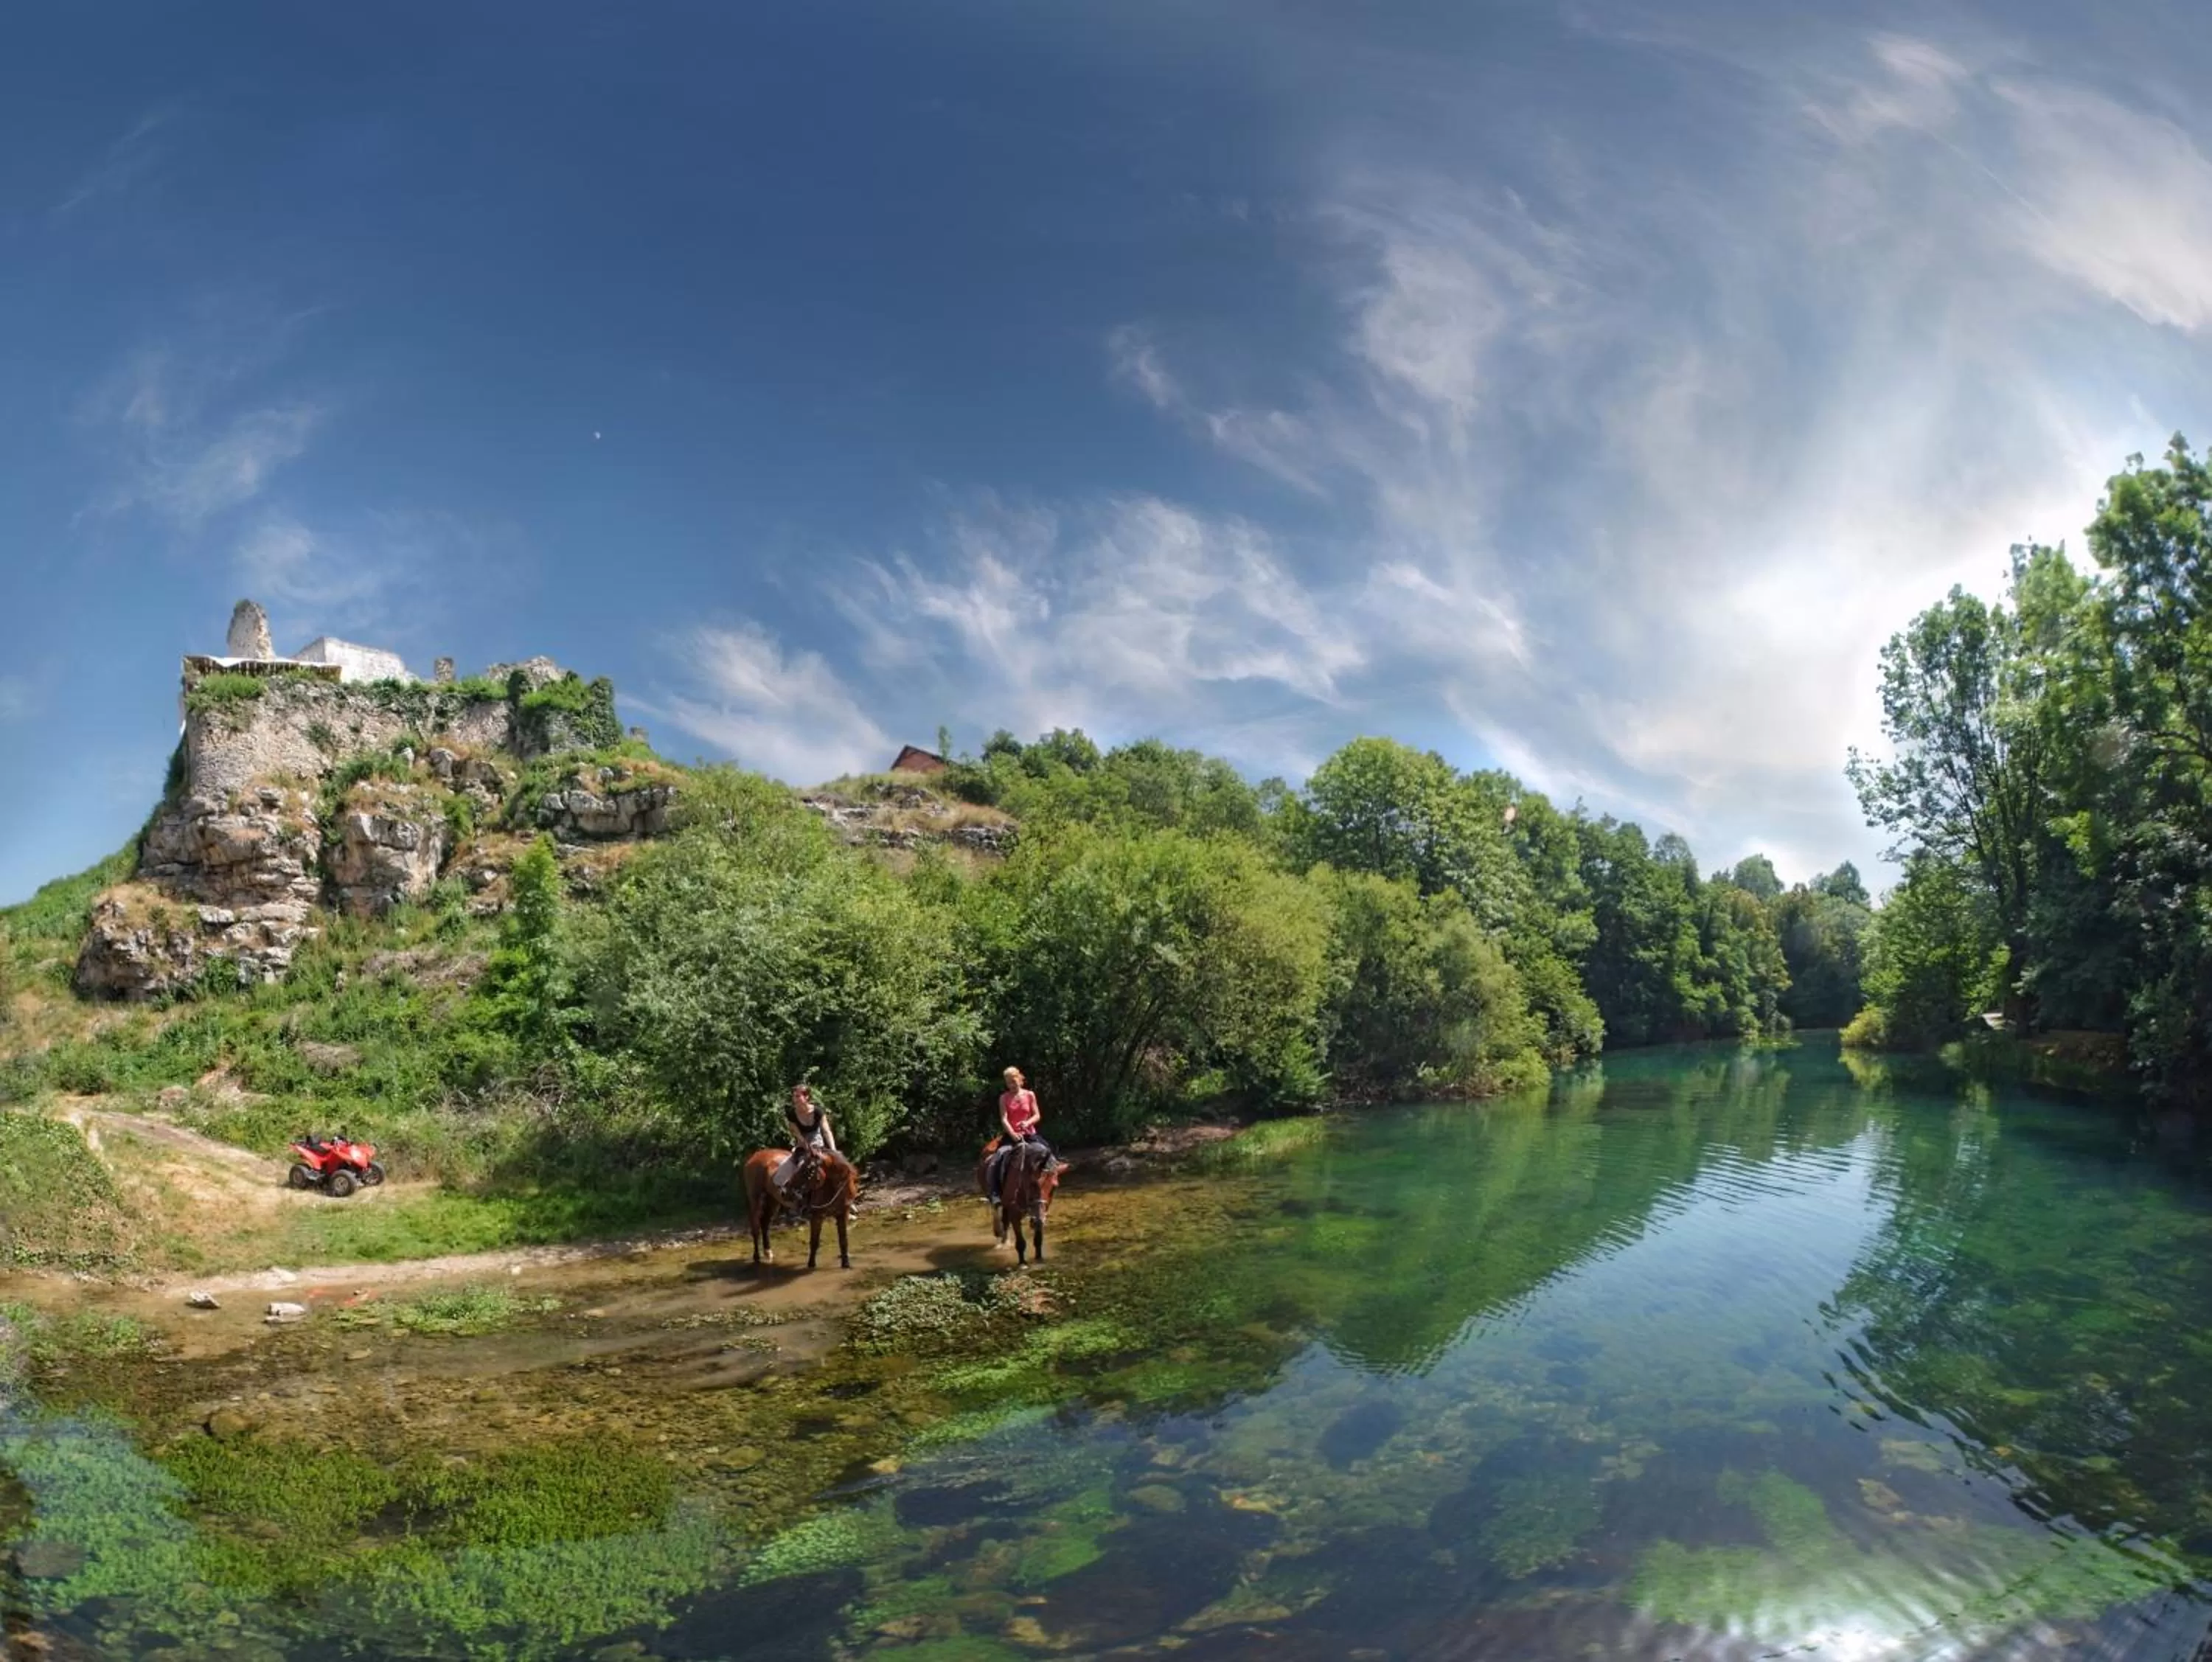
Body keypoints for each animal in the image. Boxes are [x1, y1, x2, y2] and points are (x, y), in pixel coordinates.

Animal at [739, 1146, 859, 1269]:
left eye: (807, 1170)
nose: (784, 1192)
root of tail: (755, 1156)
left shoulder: (842, 1213)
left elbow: (843, 1240)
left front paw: (846, 1264)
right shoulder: (817, 1216)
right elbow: (814, 1241)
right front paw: (811, 1265)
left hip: (772, 1200)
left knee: (765, 1223)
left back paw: (768, 1252)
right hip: (756, 1200)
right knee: (755, 1227)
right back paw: (757, 1257)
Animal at [977, 1135, 1061, 1264]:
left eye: (1054, 1187)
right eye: (1032, 1184)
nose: (1037, 1221)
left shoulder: (1042, 1213)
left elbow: (1038, 1239)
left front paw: (1039, 1259)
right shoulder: (1014, 1212)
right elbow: (1021, 1242)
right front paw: (1022, 1263)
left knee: (1005, 1221)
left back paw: (1005, 1242)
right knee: (997, 1212)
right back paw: (999, 1236)